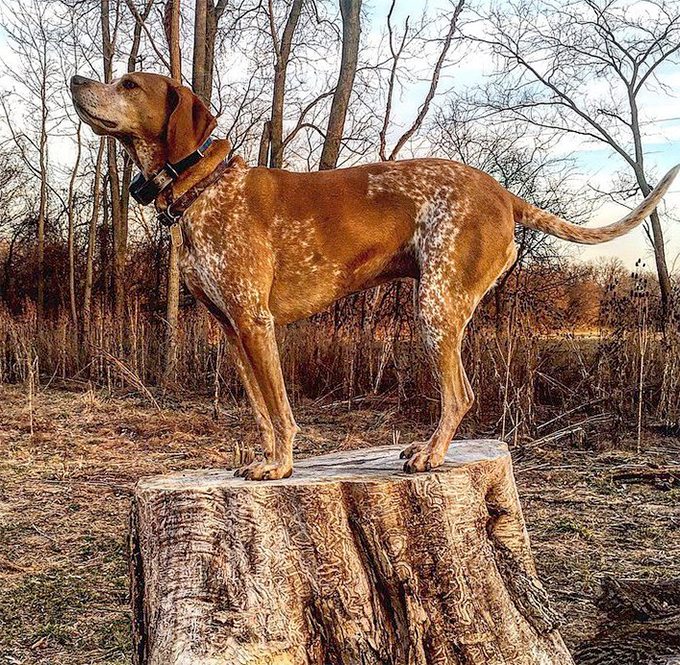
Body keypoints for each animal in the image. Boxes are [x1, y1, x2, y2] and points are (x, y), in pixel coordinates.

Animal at [71, 71, 676, 478]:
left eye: (129, 83)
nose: (76, 79)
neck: (204, 188)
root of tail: (502, 192)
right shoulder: (231, 329)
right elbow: (262, 412)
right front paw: (265, 460)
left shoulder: (255, 322)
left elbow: (281, 411)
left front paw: (281, 466)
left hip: (435, 307)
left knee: (461, 394)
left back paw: (431, 454)